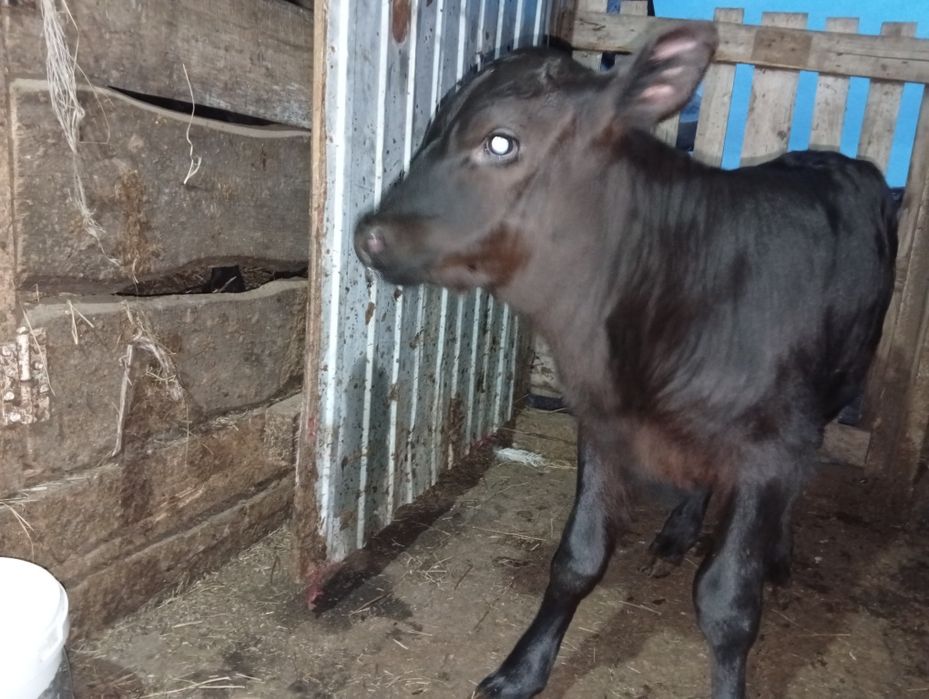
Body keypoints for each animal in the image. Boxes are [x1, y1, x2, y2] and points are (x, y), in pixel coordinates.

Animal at [354, 21, 897, 699]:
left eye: (501, 140)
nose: (368, 235)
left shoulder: (770, 448)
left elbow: (727, 603)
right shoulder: (603, 421)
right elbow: (577, 559)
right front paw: (522, 670)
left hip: (841, 381)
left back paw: (777, 550)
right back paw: (678, 532)